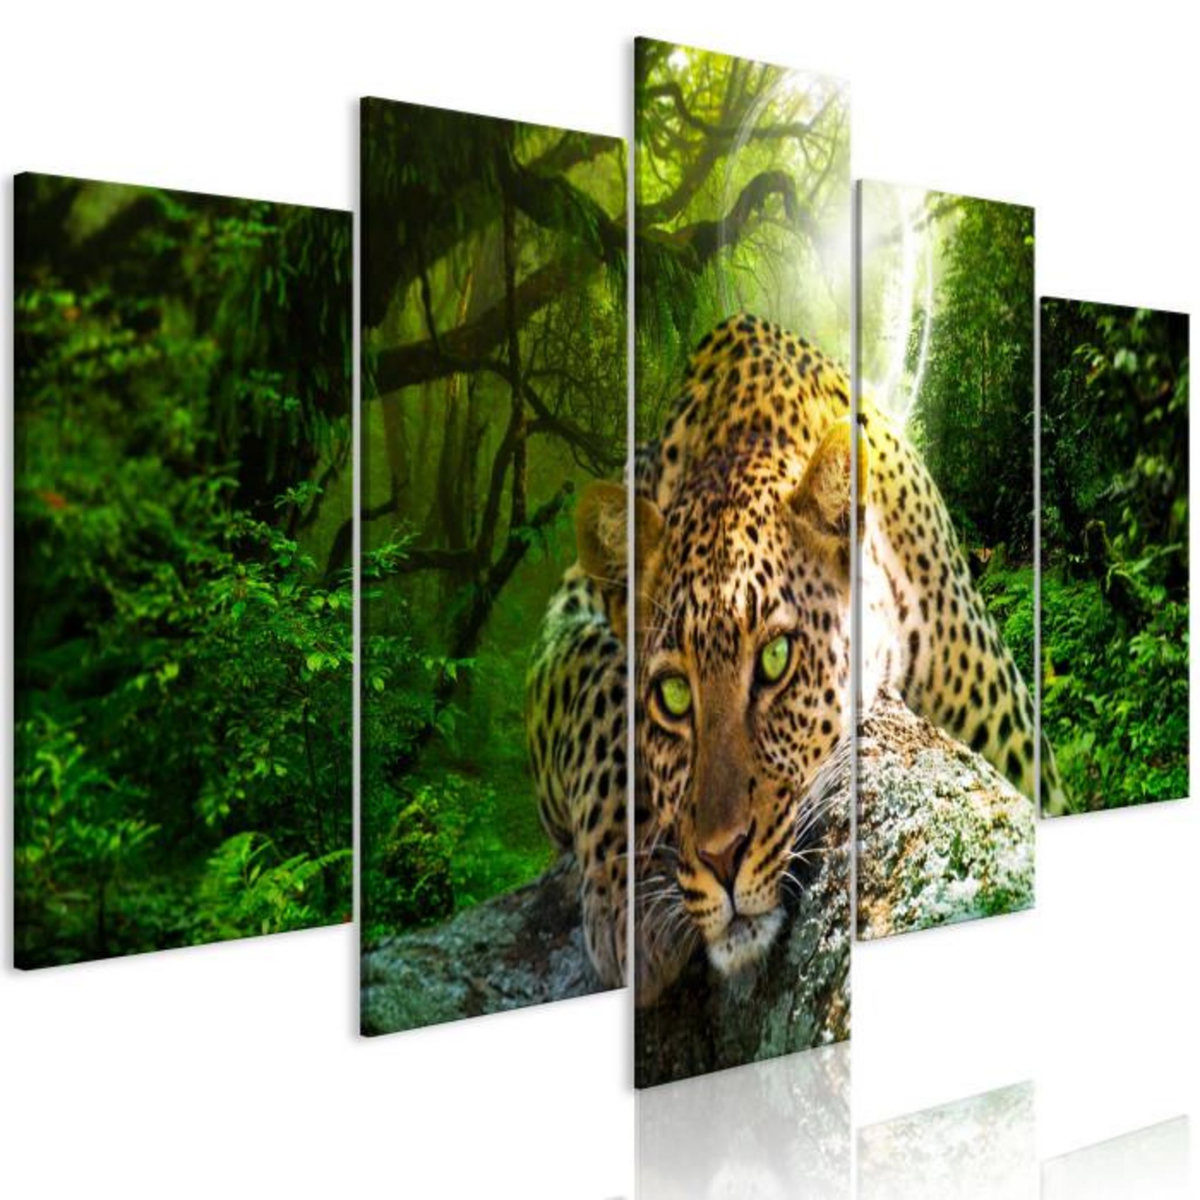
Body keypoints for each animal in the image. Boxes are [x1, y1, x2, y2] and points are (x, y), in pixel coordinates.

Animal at [526, 312, 1062, 1002]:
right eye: (672, 694)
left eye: (777, 658)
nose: (721, 856)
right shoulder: (565, 616)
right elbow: (597, 685)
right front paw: (633, 895)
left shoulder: (1014, 737)